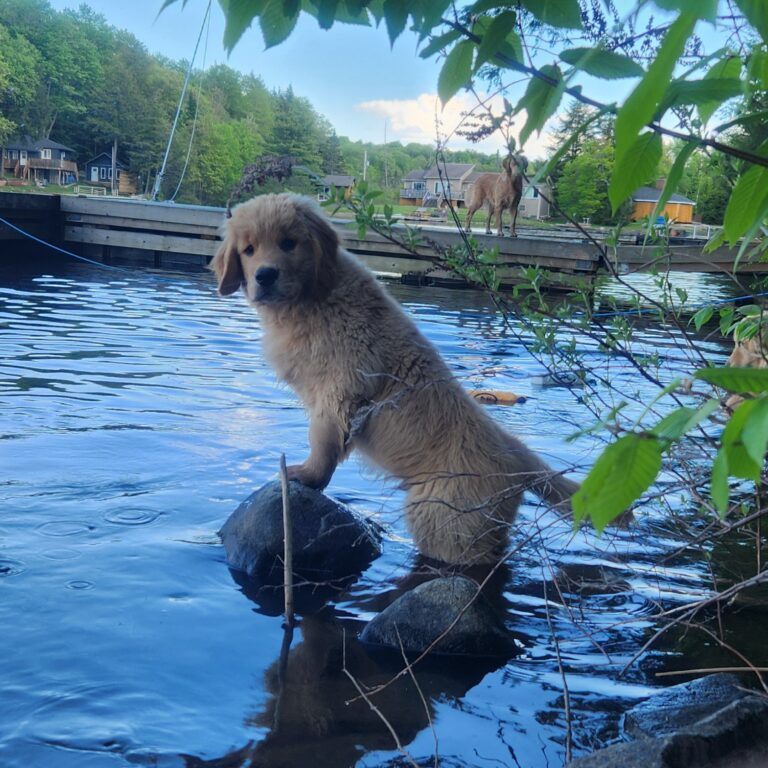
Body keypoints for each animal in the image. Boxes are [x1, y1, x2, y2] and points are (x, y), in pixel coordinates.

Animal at [210, 192, 576, 564]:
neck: (312, 297)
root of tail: (516, 456)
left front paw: (307, 476)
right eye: (249, 250)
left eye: (288, 243)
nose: (265, 276)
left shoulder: (341, 387)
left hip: (443, 520)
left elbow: (323, 440)